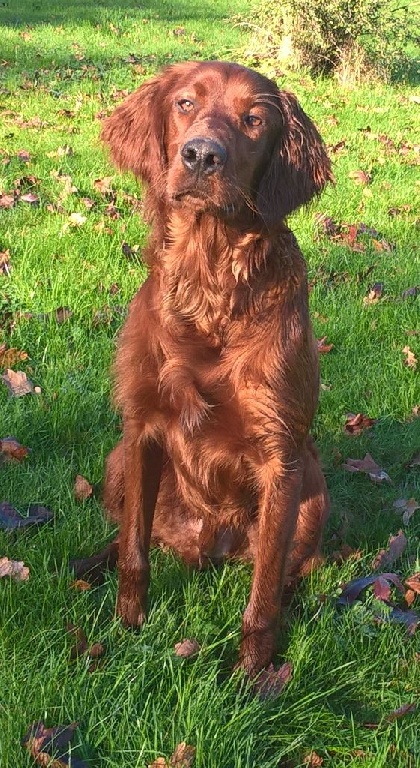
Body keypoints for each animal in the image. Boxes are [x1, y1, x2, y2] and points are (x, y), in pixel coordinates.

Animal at [74, 61, 334, 680]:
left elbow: (262, 597)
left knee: (287, 571)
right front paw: (128, 627)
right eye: (185, 103)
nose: (199, 156)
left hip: (315, 491)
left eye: (255, 120)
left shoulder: (281, 456)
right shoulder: (141, 426)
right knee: (132, 534)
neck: (210, 281)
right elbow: (135, 552)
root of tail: (204, 546)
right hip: (117, 461)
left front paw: (253, 678)